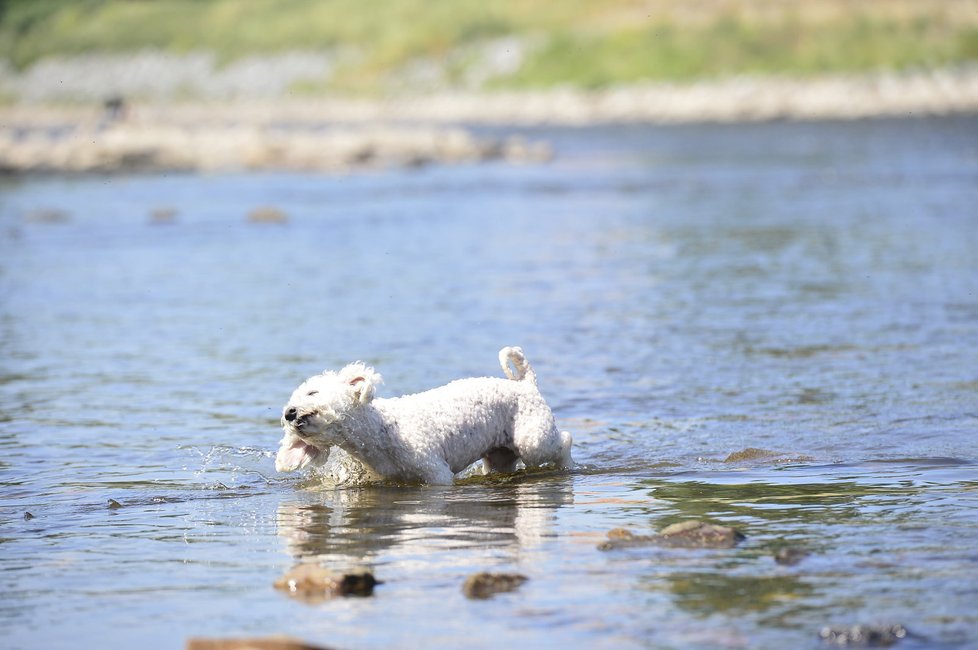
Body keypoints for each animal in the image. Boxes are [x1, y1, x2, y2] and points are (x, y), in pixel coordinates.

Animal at [274, 346, 572, 484]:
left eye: (311, 392)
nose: (289, 413)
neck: (380, 431)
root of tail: (525, 383)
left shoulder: (436, 473)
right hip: (500, 455)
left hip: (532, 442)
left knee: (565, 439)